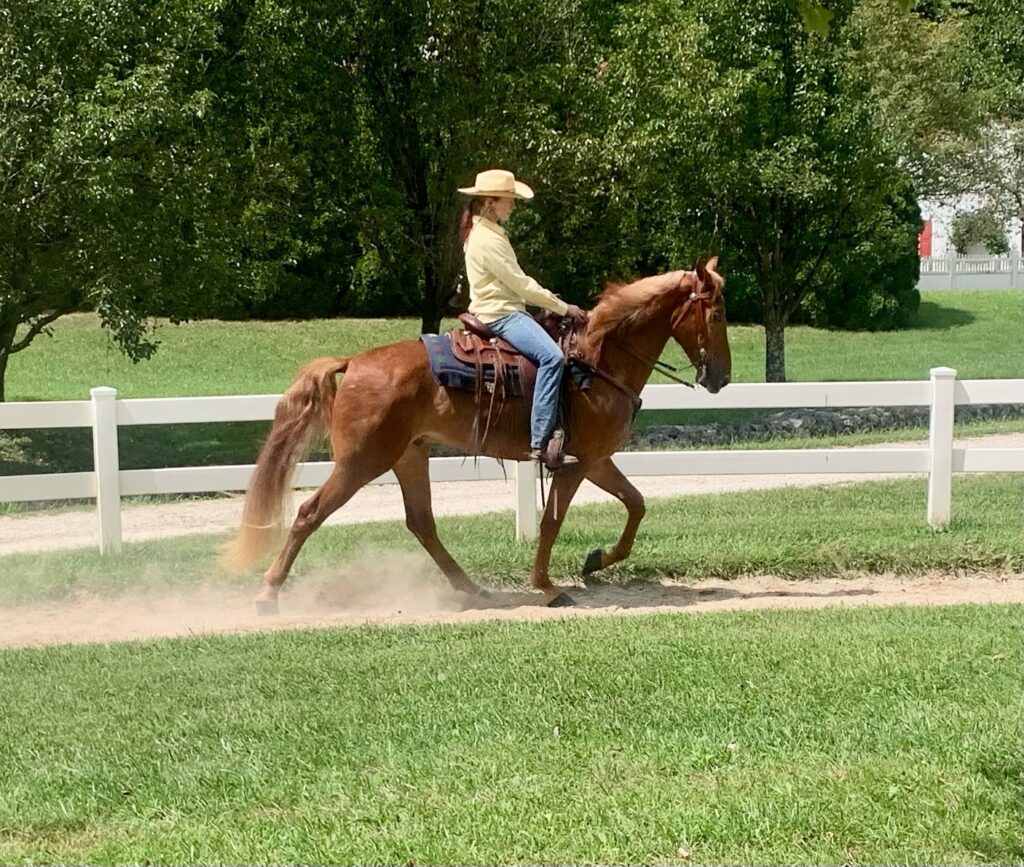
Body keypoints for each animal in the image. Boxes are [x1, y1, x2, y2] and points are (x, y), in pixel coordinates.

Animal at [224, 257, 733, 610]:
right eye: (717, 314)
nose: (722, 377)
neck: (597, 361)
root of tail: (354, 362)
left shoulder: (596, 459)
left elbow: (636, 504)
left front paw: (596, 561)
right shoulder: (576, 463)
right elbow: (552, 522)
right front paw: (547, 587)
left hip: (409, 456)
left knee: (422, 523)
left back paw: (471, 588)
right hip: (362, 461)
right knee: (310, 514)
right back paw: (268, 595)